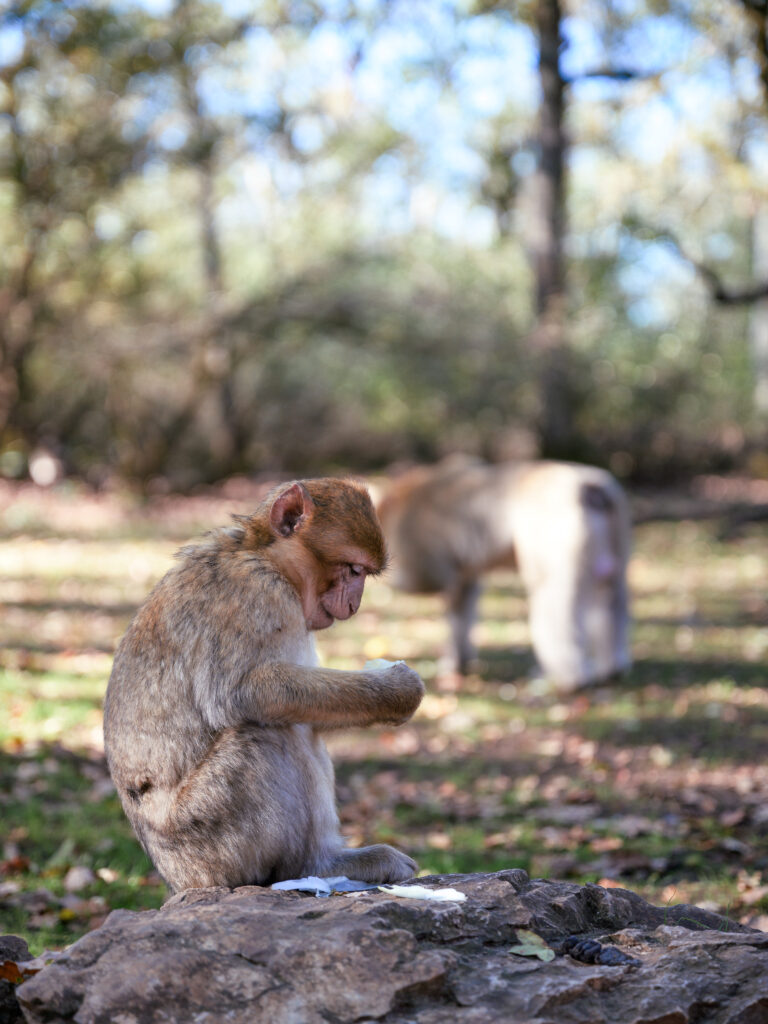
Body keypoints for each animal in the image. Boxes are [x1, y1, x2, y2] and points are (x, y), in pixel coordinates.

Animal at [101, 475, 423, 892]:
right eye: (353, 570)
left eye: (363, 575)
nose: (355, 604)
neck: (263, 554)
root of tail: (178, 881)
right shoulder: (256, 593)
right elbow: (243, 693)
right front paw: (399, 691)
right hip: (204, 842)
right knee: (264, 734)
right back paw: (317, 866)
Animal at [378, 460, 630, 692]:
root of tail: (588, 488)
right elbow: (462, 596)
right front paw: (458, 659)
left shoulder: (420, 538)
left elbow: (429, 581)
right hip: (616, 523)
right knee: (610, 595)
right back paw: (612, 669)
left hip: (557, 534)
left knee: (553, 597)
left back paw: (570, 679)